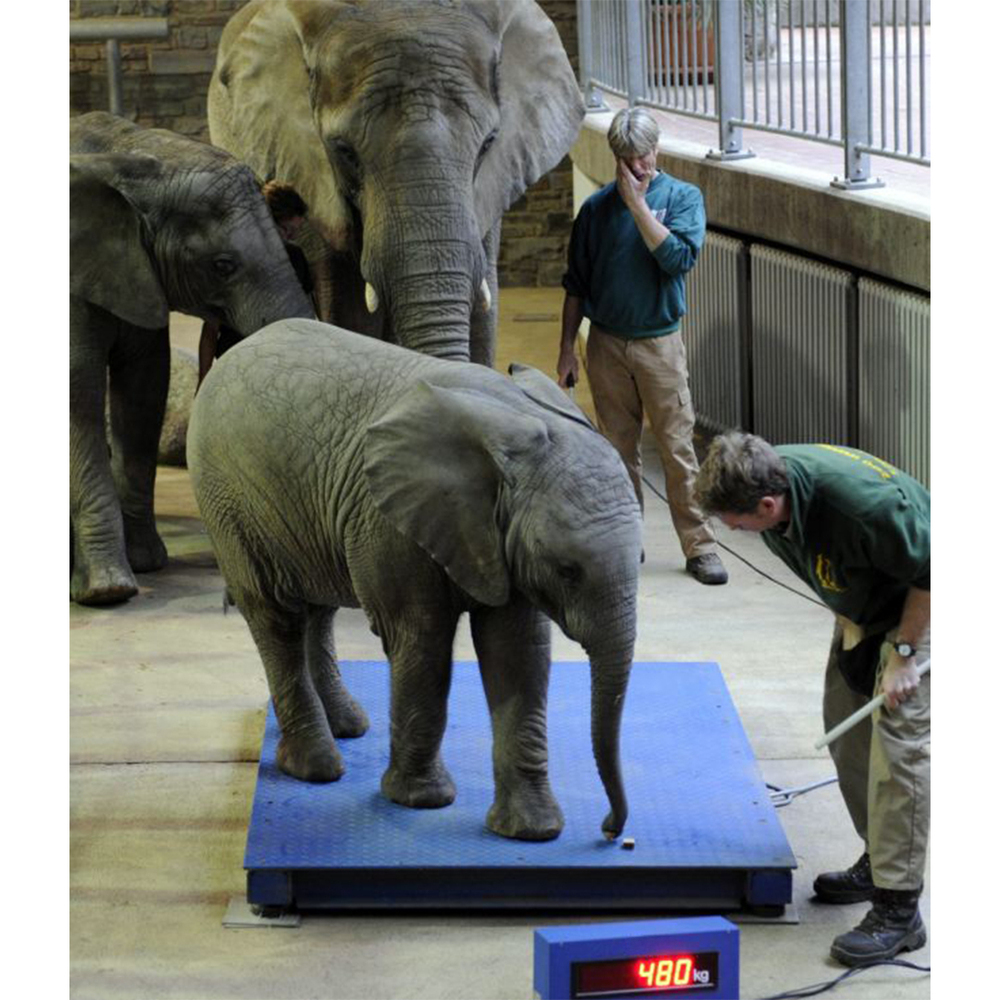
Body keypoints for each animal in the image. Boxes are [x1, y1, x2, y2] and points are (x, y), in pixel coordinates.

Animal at [70, 112, 315, 606]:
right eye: (222, 265)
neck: (134, 155)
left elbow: (145, 389)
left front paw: (147, 562)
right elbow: (78, 392)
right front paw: (109, 591)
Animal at [187, 319, 643, 842]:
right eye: (568, 570)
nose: (610, 830)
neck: (515, 419)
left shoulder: (504, 541)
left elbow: (518, 651)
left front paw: (531, 831)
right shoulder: (388, 522)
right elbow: (422, 640)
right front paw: (421, 800)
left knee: (317, 609)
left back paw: (348, 726)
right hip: (228, 499)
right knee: (274, 616)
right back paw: (317, 766)